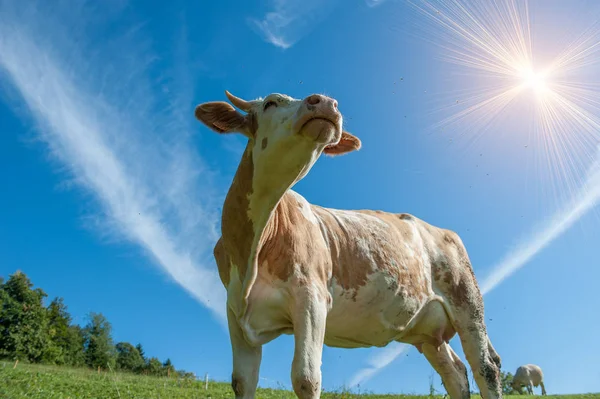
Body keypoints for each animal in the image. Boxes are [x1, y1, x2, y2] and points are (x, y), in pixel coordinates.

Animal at [195, 91, 504, 399]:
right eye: (271, 102)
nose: (324, 101)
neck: (254, 247)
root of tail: (438, 229)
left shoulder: (312, 297)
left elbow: (306, 378)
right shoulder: (235, 310)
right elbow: (243, 380)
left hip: (467, 304)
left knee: (485, 366)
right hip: (428, 331)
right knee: (456, 373)